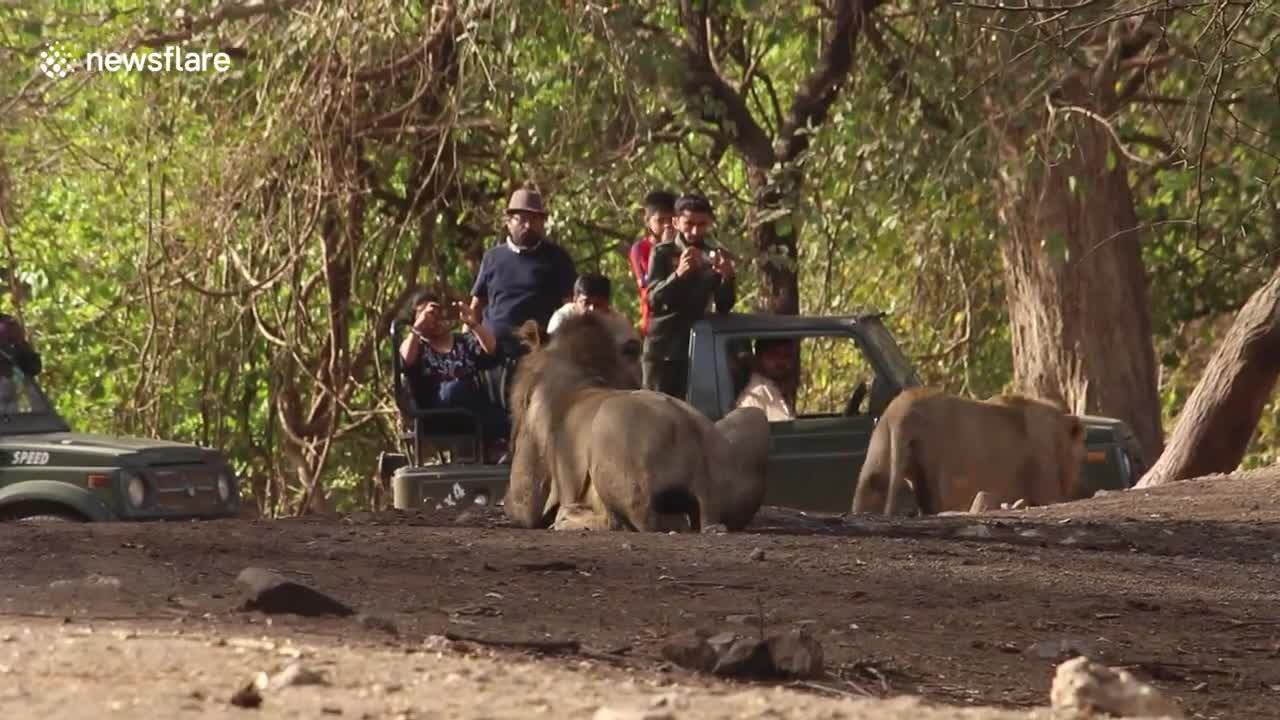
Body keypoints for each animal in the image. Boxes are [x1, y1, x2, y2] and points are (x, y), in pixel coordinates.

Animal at [504, 311, 768, 530]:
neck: (580, 368)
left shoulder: (526, 497)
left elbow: (518, 508)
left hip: (609, 430)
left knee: (622, 521)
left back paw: (567, 518)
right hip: (753, 416)